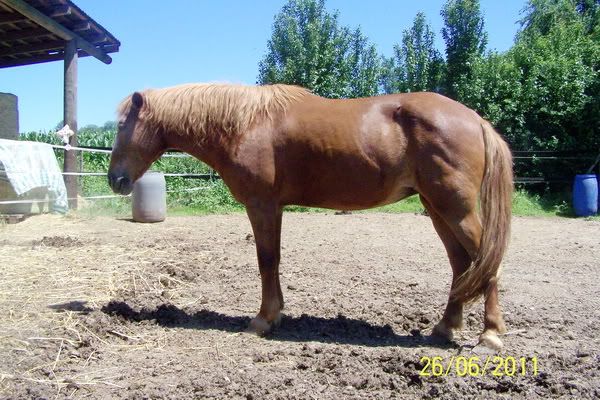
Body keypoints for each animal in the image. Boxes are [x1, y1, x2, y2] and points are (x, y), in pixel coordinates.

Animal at [108, 82, 510, 350]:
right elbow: (274, 260)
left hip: (455, 209)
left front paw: (262, 320)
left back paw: (490, 336)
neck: (245, 124)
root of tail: (476, 119)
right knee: (462, 265)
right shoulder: (274, 208)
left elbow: (266, 260)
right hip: (438, 209)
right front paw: (277, 314)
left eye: (122, 126)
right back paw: (446, 328)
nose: (116, 180)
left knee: (486, 262)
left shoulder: (262, 205)